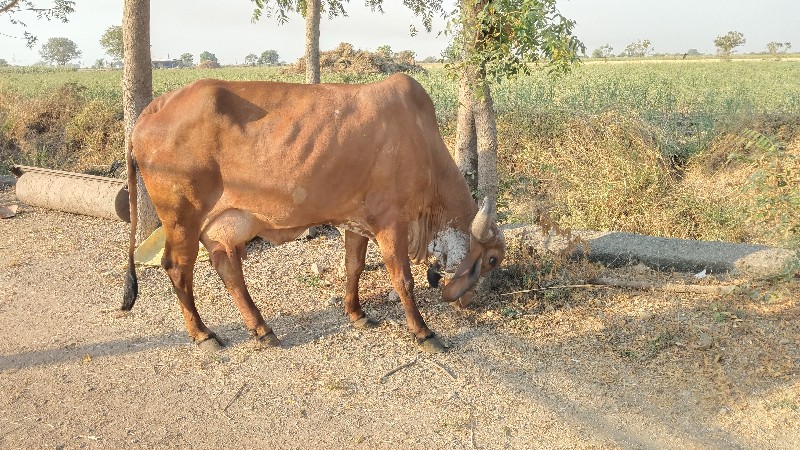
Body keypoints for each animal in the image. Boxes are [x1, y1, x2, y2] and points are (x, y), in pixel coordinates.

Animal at [122, 74, 504, 354]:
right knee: (178, 269)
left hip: (217, 225)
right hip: (182, 218)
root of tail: (153, 109)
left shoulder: (357, 222)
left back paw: (262, 329)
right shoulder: (391, 224)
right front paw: (423, 332)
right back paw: (203, 334)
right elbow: (403, 281)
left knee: (228, 270)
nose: (469, 300)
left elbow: (354, 267)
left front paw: (357, 313)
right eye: (492, 260)